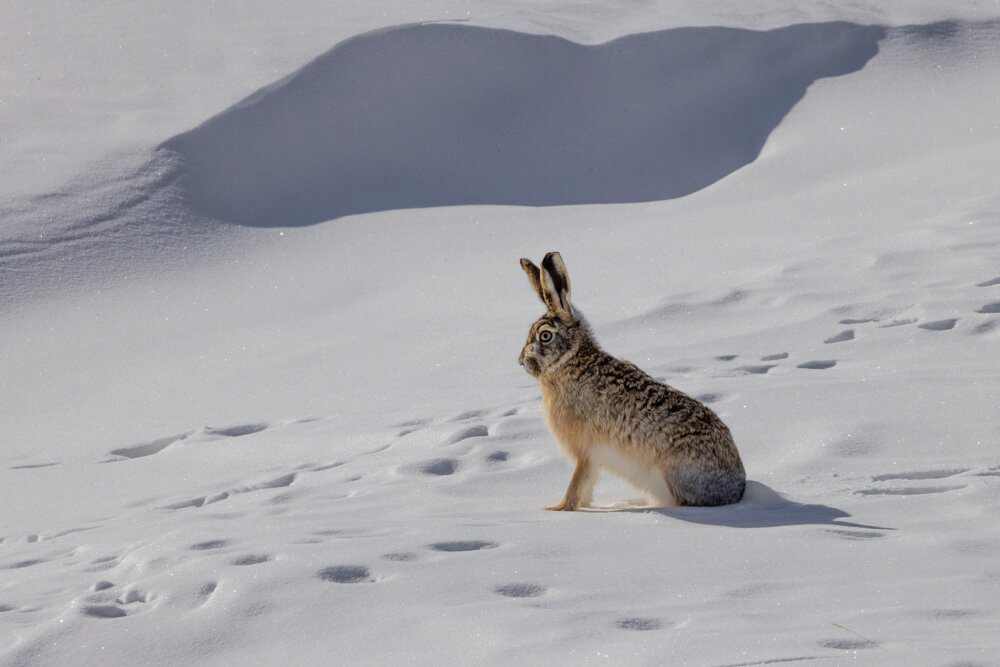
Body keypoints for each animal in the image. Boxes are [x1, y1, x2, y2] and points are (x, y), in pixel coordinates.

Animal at [518, 251, 746, 511]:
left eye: (545, 336)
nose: (521, 361)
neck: (570, 360)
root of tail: (736, 490)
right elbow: (587, 486)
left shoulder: (585, 452)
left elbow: (577, 483)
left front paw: (560, 509)